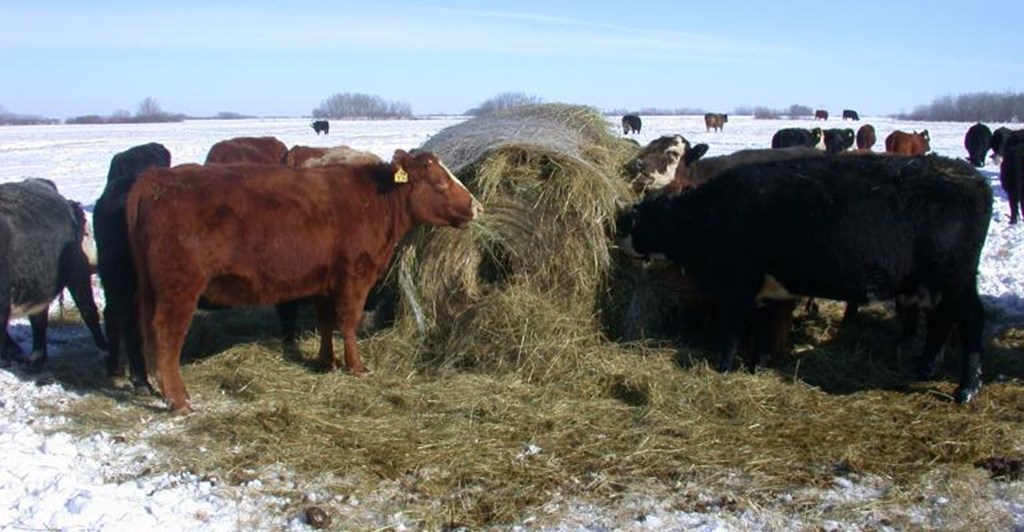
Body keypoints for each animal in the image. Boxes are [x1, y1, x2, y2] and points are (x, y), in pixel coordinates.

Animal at [94, 141, 172, 390]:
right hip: (123, 280)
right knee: (127, 321)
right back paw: (140, 379)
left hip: (115, 280)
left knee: (113, 315)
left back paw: (115, 369)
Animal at [125, 148, 481, 411]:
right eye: (439, 182)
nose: (477, 205)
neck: (372, 200)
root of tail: (154, 178)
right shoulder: (354, 275)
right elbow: (347, 321)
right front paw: (356, 367)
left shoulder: (323, 280)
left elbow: (325, 321)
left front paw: (326, 362)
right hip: (179, 289)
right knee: (167, 335)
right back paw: (178, 399)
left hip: (151, 289)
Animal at [618, 153, 995, 403]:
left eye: (647, 216)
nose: (621, 227)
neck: (710, 212)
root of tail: (970, 176)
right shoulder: (769, 291)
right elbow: (763, 331)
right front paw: (756, 365)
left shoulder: (738, 287)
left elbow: (734, 332)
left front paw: (724, 368)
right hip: (934, 285)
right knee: (942, 321)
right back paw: (925, 367)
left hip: (955, 280)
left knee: (971, 321)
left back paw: (966, 388)